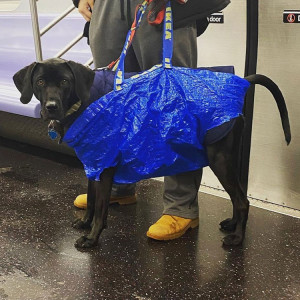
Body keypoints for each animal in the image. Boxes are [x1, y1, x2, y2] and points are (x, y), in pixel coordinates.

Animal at [12, 58, 290, 248]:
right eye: (39, 82)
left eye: (64, 82)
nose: (50, 107)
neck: (84, 101)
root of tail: (240, 83)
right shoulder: (93, 164)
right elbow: (91, 200)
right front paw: (84, 223)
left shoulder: (106, 169)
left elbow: (101, 207)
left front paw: (92, 238)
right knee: (238, 197)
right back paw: (232, 224)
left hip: (220, 159)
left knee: (243, 201)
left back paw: (237, 237)